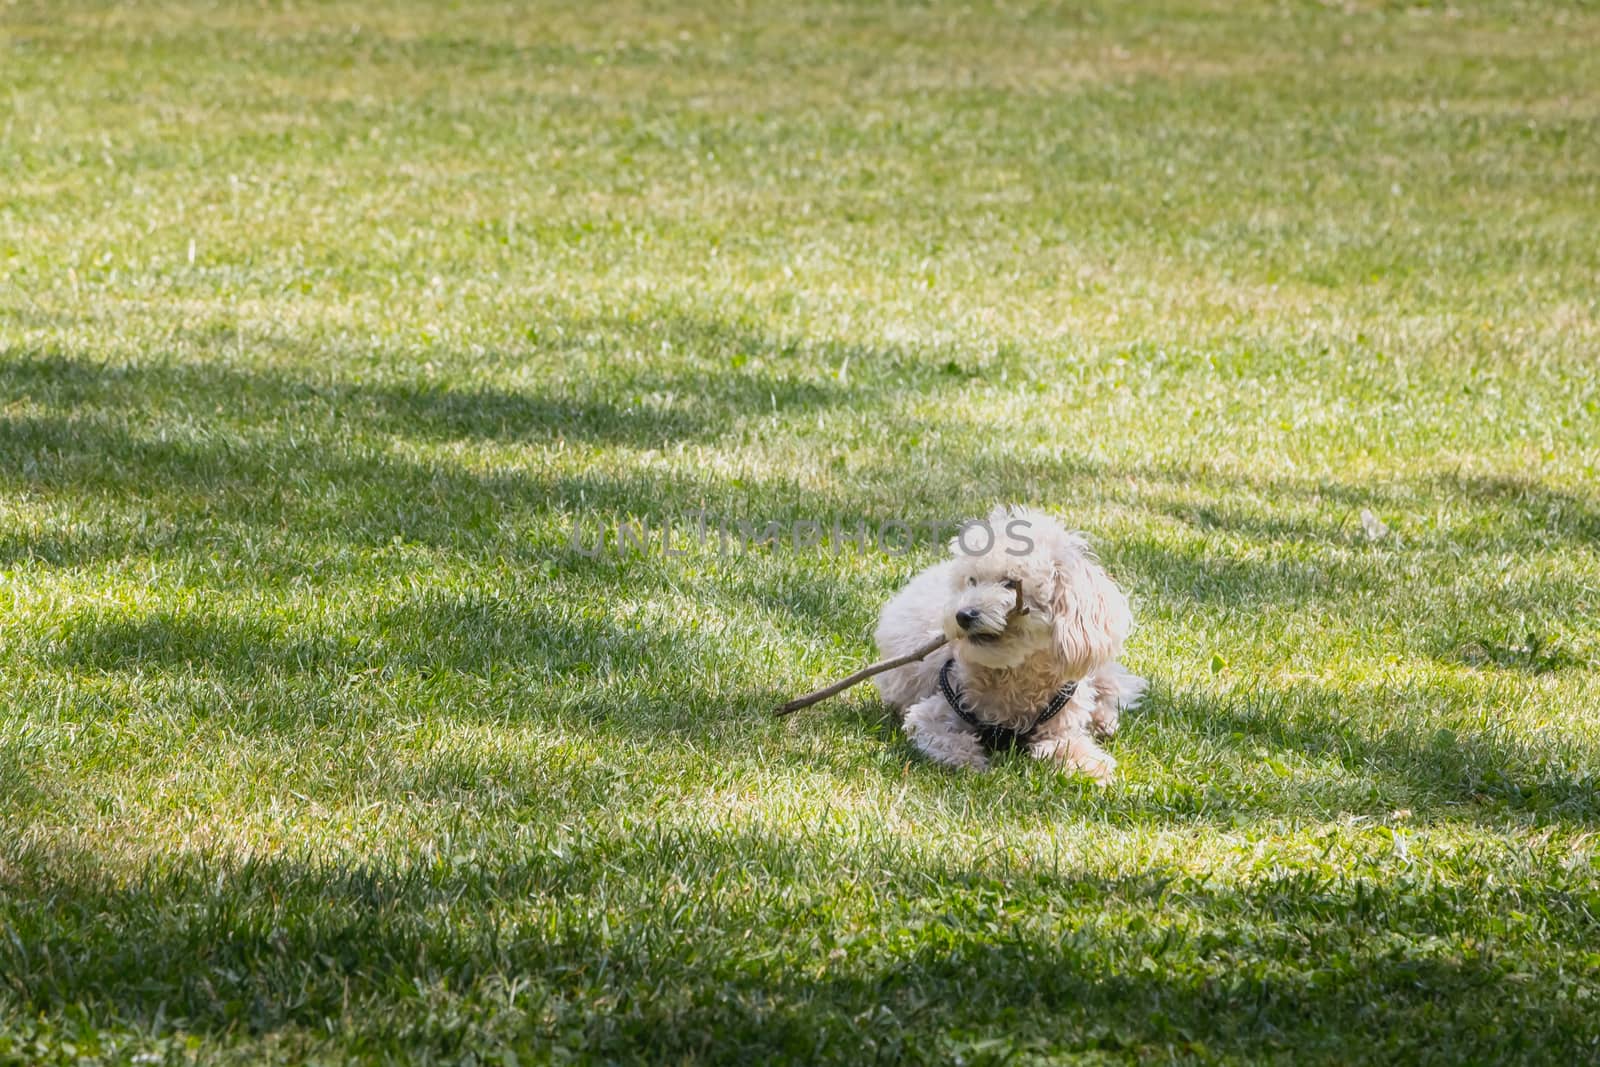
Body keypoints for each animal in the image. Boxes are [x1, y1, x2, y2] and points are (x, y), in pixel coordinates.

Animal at [876, 505, 1139, 780]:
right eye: (971, 581)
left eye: (1011, 583)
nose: (962, 615)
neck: (1014, 674)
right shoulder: (934, 709)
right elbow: (945, 737)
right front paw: (970, 761)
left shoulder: (1061, 721)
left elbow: (1067, 744)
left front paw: (1091, 765)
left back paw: (1103, 719)